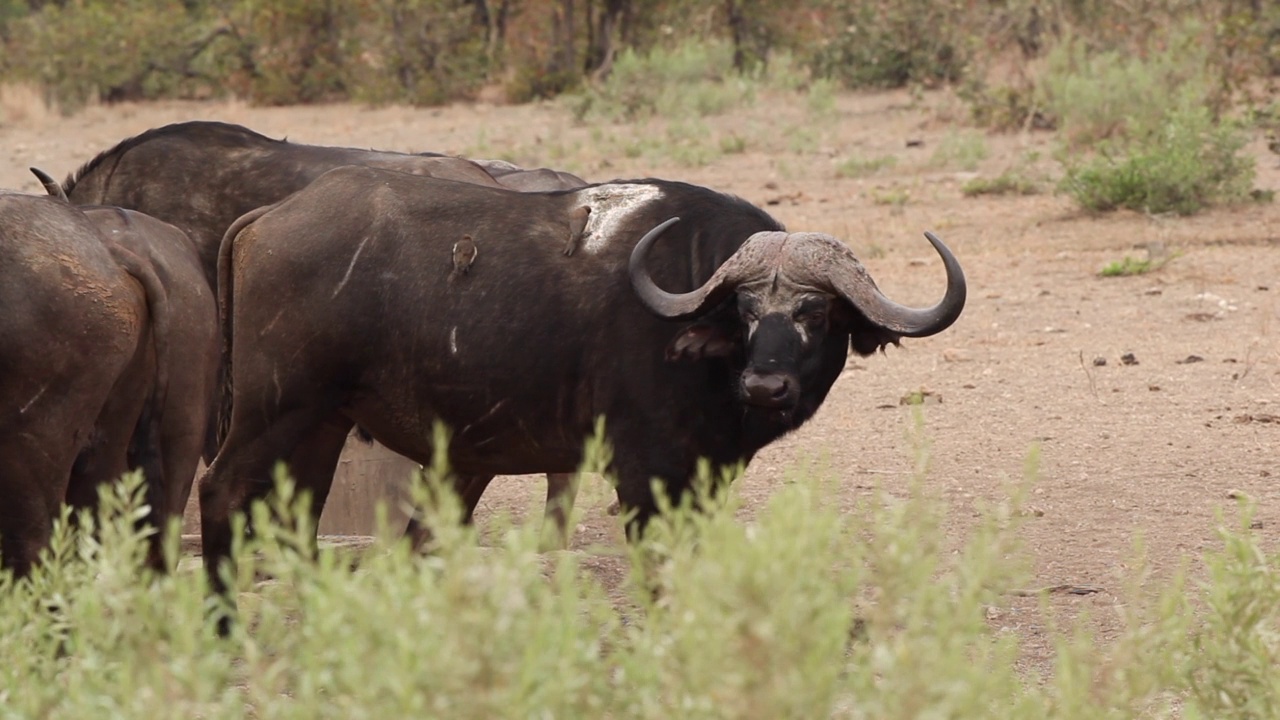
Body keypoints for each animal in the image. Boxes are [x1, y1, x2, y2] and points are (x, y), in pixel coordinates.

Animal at [197, 166, 962, 617]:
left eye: (816, 312)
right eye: (746, 311)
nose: (765, 383)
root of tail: (269, 217)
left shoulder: (704, 475)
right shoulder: (645, 472)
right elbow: (654, 566)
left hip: (322, 422)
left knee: (296, 512)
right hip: (274, 410)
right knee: (222, 491)